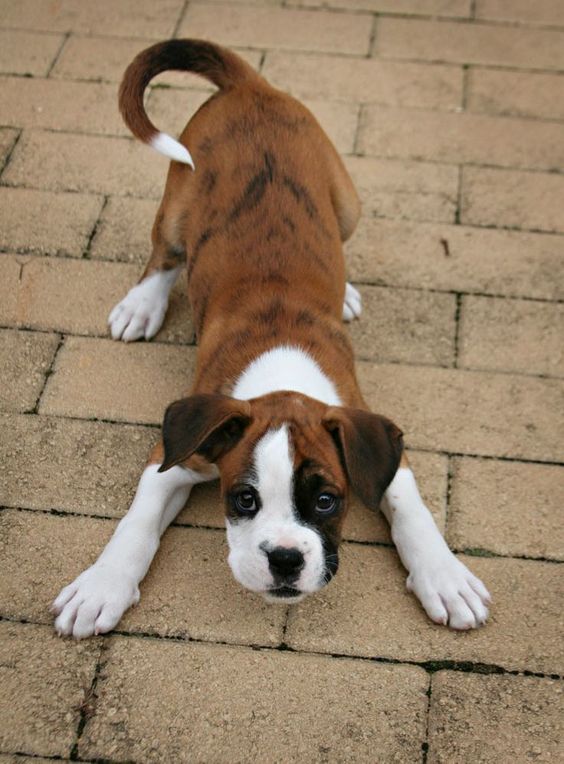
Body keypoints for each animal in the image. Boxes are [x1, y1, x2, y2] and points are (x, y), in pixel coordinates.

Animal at [55, 40, 492, 640]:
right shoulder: (173, 453)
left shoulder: (385, 454)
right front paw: (101, 586)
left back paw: (346, 292)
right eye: (244, 499)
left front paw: (445, 577)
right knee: (165, 254)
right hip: (177, 200)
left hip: (346, 204)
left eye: (327, 501)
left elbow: (414, 513)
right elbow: (135, 525)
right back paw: (142, 303)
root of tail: (250, 86)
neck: (282, 370)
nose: (285, 560)